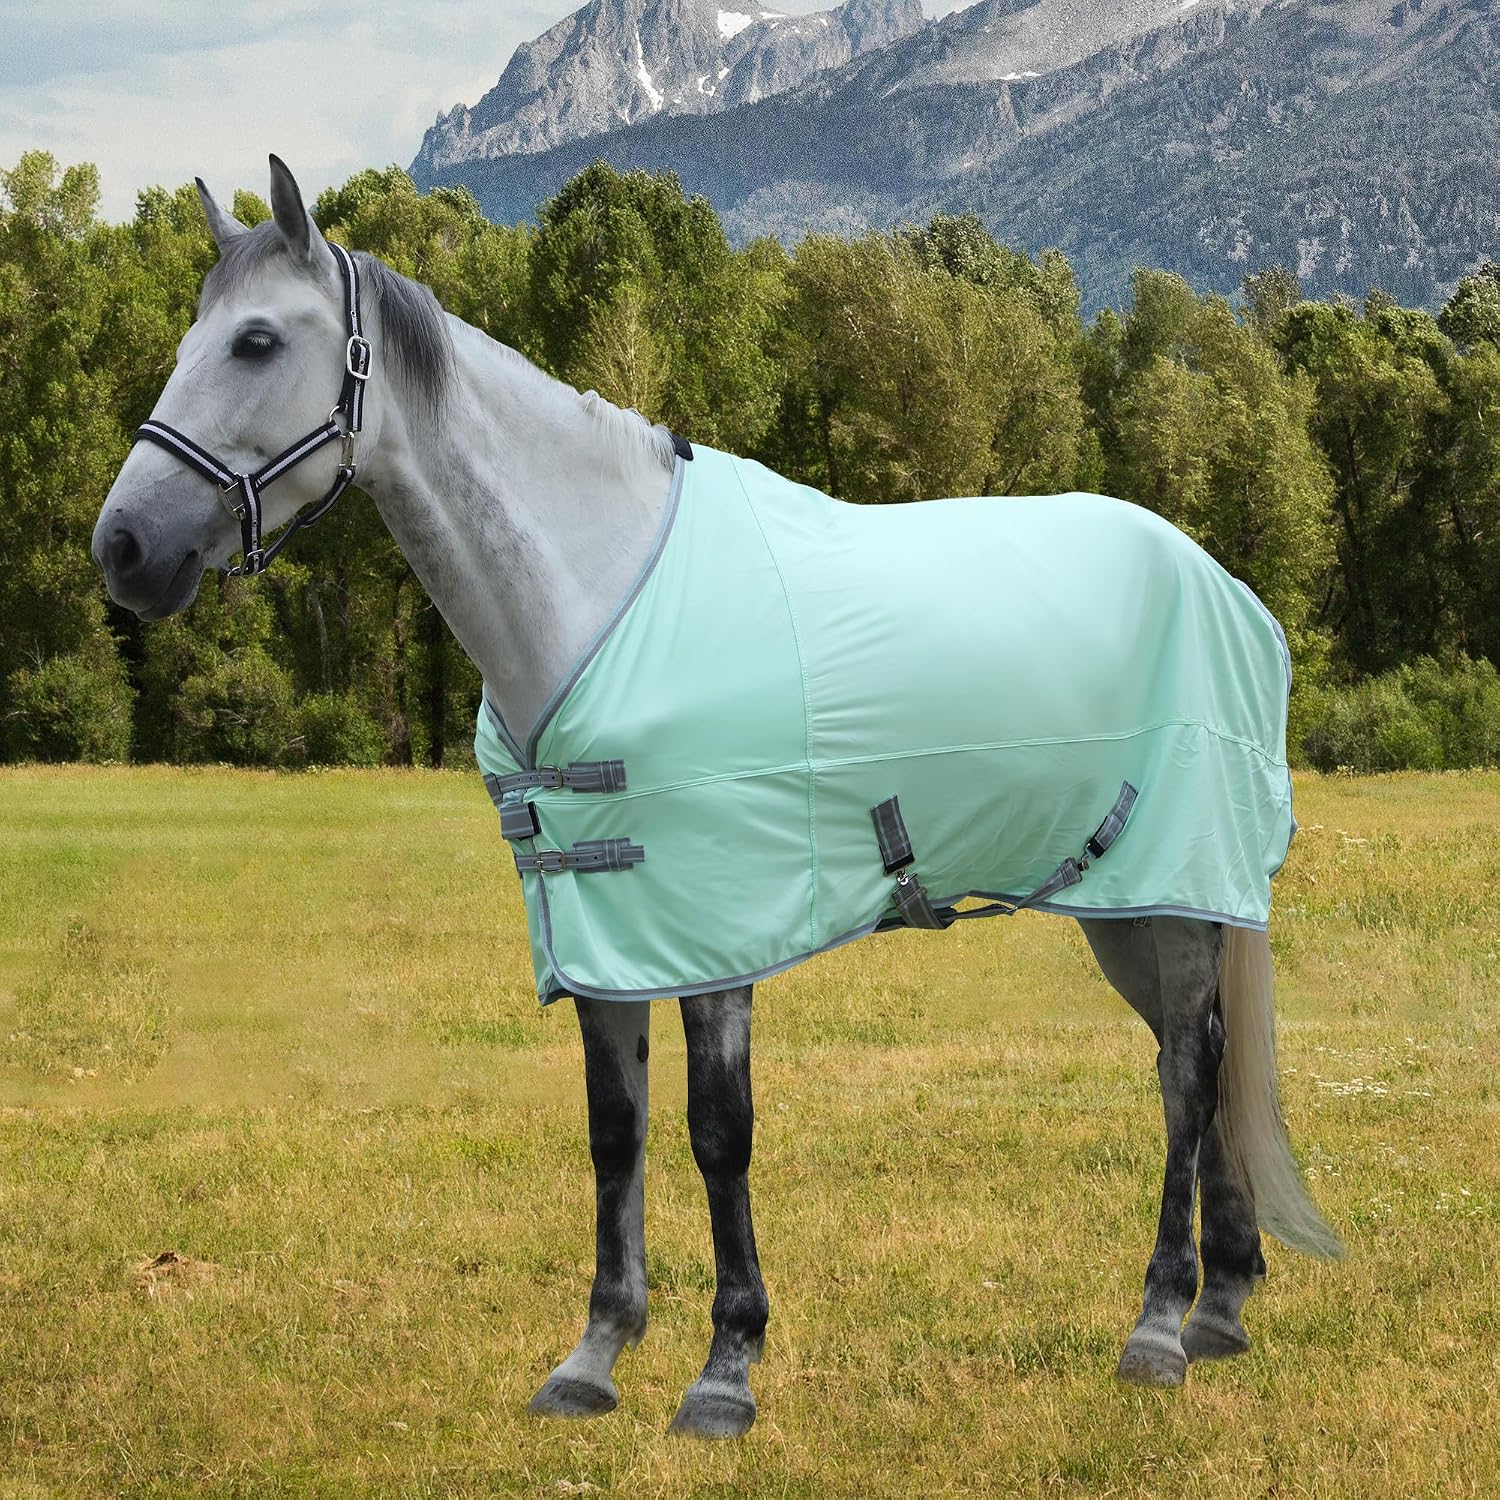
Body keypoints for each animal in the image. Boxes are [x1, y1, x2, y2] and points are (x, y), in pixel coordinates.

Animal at [93, 157, 1338, 1440]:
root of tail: (1226, 587)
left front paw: (726, 1368)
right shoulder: (606, 926)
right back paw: (1223, 1303)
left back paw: (1160, 1325)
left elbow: (716, 1131)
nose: (124, 546)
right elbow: (616, 1131)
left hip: (1177, 893)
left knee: (1189, 1078)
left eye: (254, 341)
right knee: (1195, 1058)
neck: (595, 591)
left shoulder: (714, 924)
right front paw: (594, 1355)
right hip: (1128, 906)